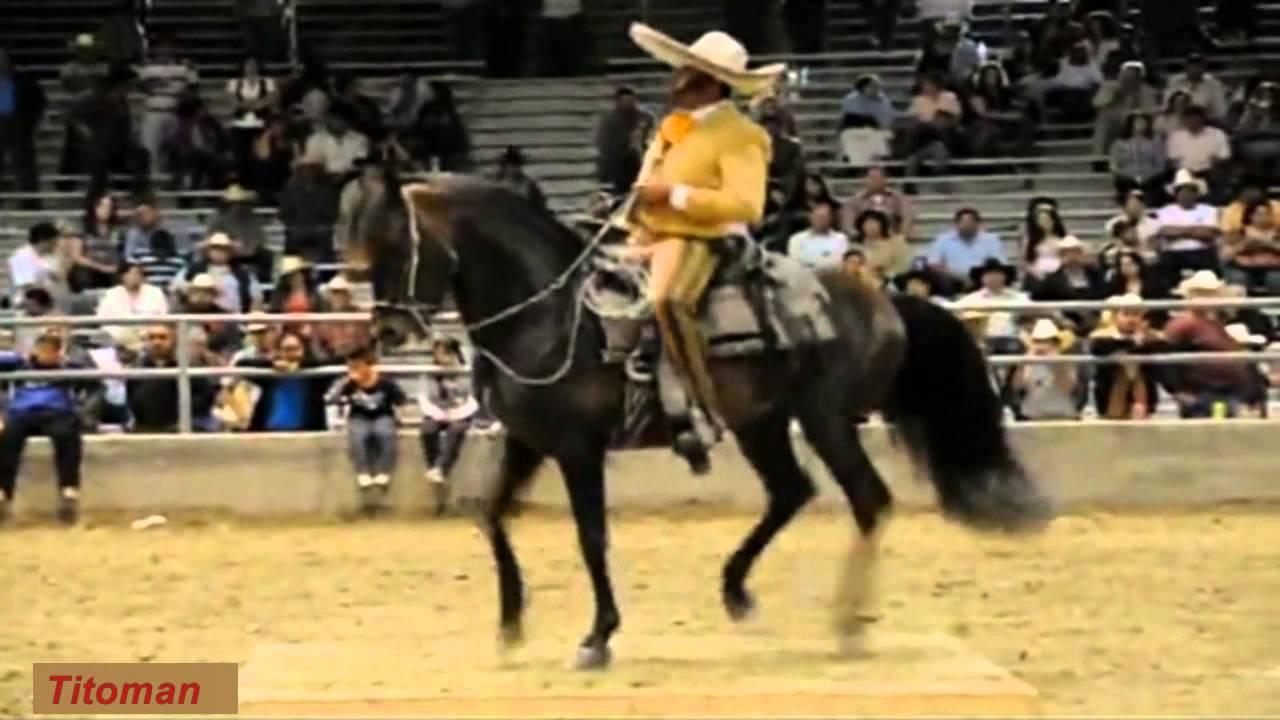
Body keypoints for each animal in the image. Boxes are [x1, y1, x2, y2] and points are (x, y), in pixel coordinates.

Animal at [361, 172, 1052, 670]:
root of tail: (886, 299)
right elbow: (490, 513)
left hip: (825, 420)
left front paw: (598, 637)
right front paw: (509, 625)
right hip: (762, 423)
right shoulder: (527, 441)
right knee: (791, 492)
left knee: (868, 500)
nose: (387, 330)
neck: (552, 315)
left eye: (398, 249)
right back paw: (737, 591)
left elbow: (591, 537)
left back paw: (846, 623)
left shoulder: (578, 449)